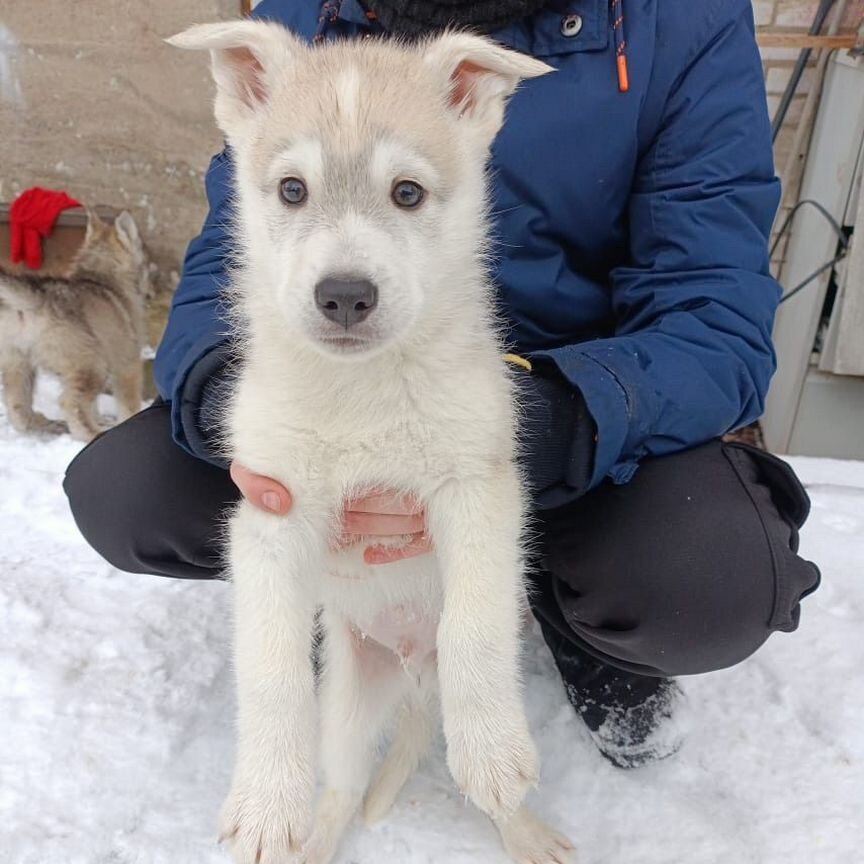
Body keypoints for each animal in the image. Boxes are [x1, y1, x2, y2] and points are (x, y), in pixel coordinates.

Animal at [0, 208, 149, 438]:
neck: (100, 273)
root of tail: (40, 300)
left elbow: (94, 406)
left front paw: (101, 419)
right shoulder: (127, 361)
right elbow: (128, 403)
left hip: (18, 364)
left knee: (18, 408)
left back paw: (44, 425)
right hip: (93, 364)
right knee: (71, 404)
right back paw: (92, 434)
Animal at [172, 20, 572, 864]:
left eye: (407, 193)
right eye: (293, 189)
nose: (346, 295)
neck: (362, 393)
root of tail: (413, 683)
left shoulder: (478, 488)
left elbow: (473, 627)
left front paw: (492, 751)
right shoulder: (270, 512)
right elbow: (271, 667)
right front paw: (266, 806)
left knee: (483, 780)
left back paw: (525, 828)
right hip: (351, 702)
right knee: (344, 783)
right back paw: (313, 835)